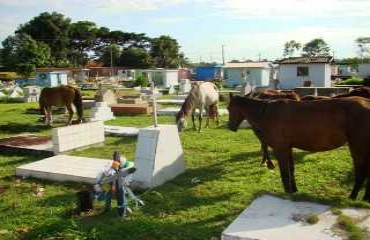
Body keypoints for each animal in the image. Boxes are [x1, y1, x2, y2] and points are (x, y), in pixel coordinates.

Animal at [227, 93, 370, 201]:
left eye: (228, 108)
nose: (230, 127)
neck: (266, 113)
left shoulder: (280, 149)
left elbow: (284, 173)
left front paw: (286, 193)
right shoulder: (288, 147)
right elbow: (291, 169)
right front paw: (293, 190)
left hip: (357, 147)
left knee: (361, 172)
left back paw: (352, 197)